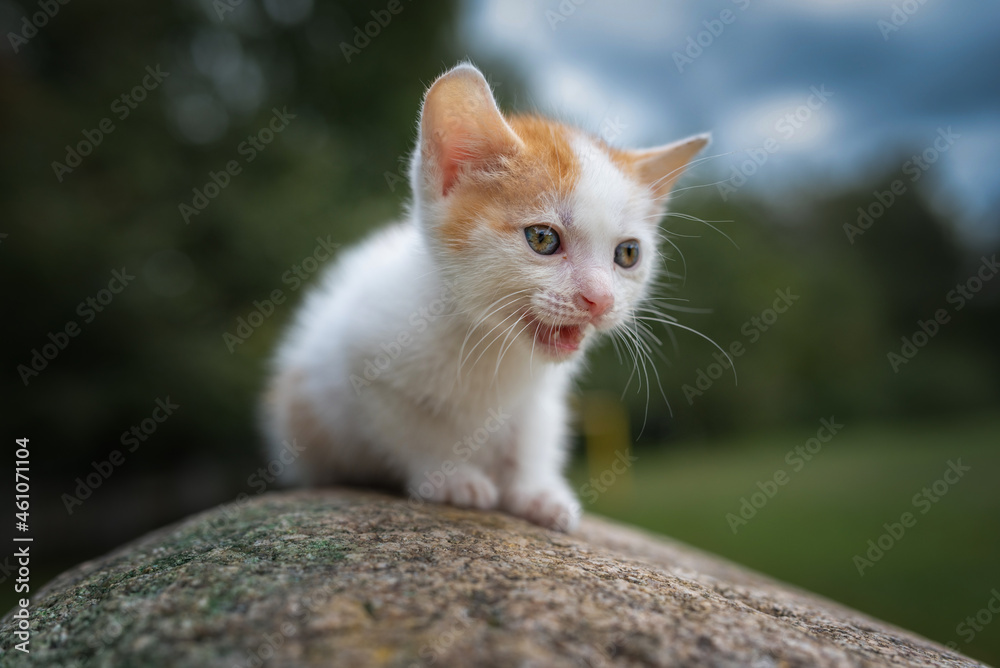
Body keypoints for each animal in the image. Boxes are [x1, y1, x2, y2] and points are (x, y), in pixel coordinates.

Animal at [262, 64, 708, 532]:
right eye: (543, 238)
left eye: (628, 254)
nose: (600, 299)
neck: (490, 345)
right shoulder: (364, 364)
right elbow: (413, 428)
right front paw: (452, 477)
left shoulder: (539, 398)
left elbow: (531, 437)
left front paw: (537, 492)